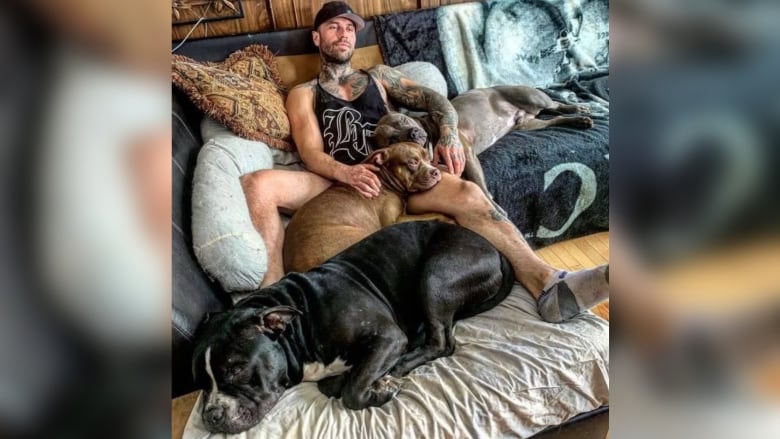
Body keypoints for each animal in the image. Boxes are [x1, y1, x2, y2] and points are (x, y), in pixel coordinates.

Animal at [192, 222, 516, 434]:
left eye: (236, 369)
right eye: (201, 382)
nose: (212, 416)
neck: (301, 325)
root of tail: (496, 250)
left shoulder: (388, 337)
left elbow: (353, 391)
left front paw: (379, 388)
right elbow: (336, 383)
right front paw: (342, 379)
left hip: (435, 275)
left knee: (442, 343)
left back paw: (399, 366)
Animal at [284, 142, 448, 276]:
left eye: (428, 159)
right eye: (412, 162)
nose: (436, 171)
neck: (384, 179)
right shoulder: (394, 221)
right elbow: (433, 213)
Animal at [374, 85, 596, 205]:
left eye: (403, 120)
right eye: (392, 140)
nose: (413, 133)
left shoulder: (465, 153)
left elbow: (479, 185)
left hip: (532, 98)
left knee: (556, 105)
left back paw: (577, 109)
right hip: (529, 124)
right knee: (554, 119)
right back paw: (578, 121)